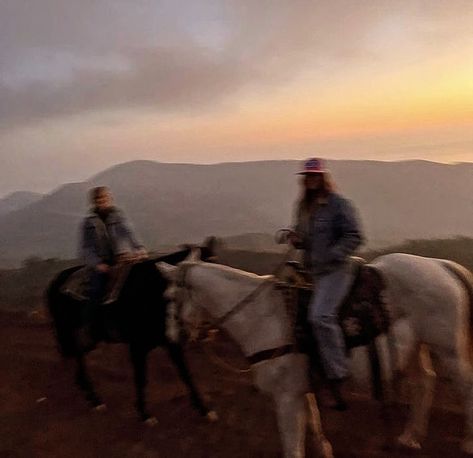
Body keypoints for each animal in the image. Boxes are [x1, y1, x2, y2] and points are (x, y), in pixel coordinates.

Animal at [46, 247, 214, 422]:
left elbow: (185, 374)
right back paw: (95, 400)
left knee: (79, 357)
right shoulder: (137, 347)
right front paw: (145, 414)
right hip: (76, 334)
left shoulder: (171, 343)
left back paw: (86, 390)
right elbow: (141, 378)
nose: (207, 329)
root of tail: (56, 282)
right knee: (79, 356)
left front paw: (204, 409)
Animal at [158, 252, 332, 458]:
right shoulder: (303, 391)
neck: (265, 319)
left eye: (168, 297)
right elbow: (318, 433)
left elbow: (294, 451)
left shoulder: (287, 398)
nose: (170, 337)